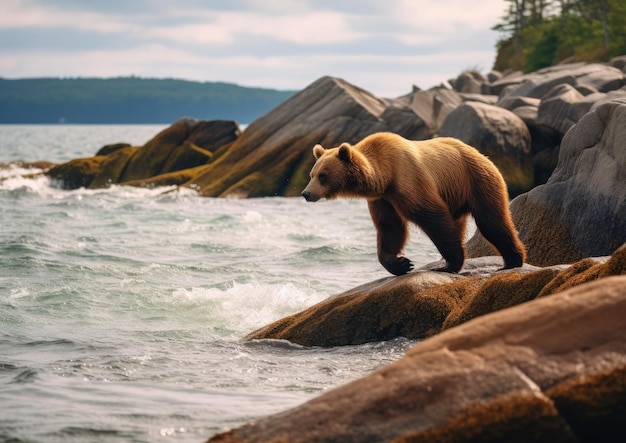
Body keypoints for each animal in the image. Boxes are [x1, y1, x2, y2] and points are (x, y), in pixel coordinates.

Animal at [300, 132, 524, 276]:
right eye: (312, 174)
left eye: (323, 176)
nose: (306, 193)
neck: (386, 174)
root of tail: (482, 154)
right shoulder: (383, 198)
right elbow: (390, 226)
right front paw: (400, 263)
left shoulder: (407, 180)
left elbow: (432, 216)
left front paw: (448, 263)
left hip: (476, 180)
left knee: (491, 221)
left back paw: (511, 261)